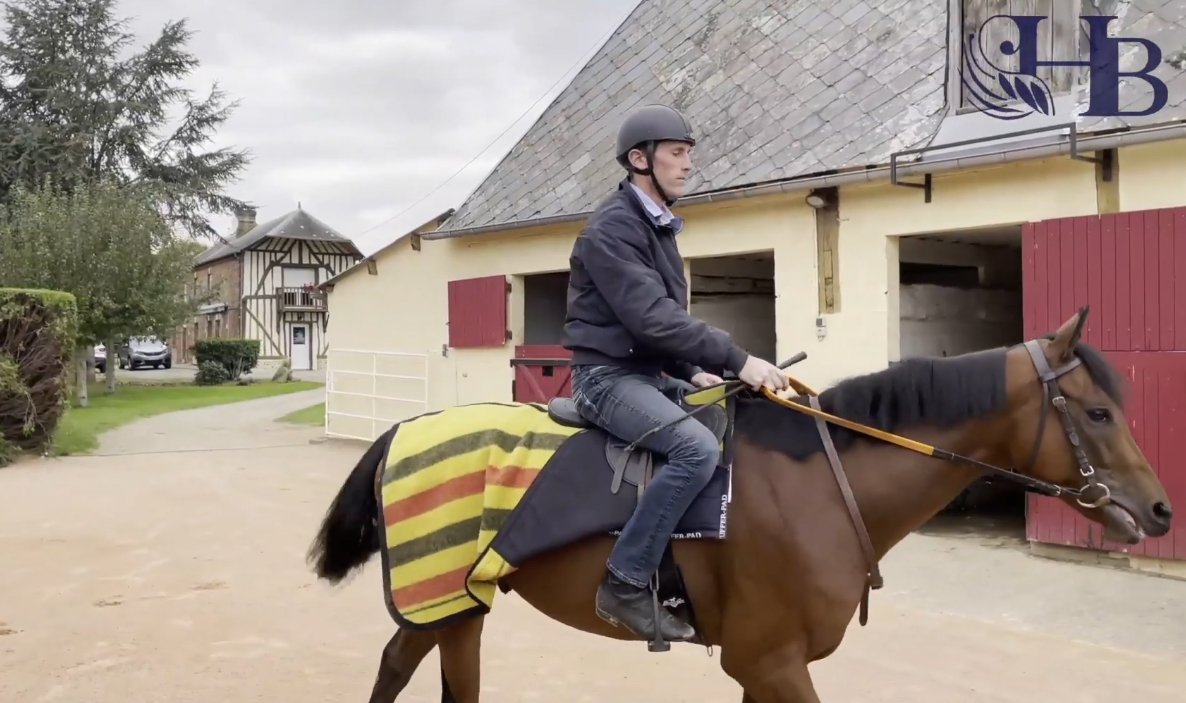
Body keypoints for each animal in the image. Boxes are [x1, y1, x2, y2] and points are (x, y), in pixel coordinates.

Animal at [306, 307, 1173, 703]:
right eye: (1099, 411)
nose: (1162, 510)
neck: (821, 484)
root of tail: (402, 429)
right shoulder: (769, 660)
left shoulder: (765, 666)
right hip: (444, 599)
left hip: (459, 604)